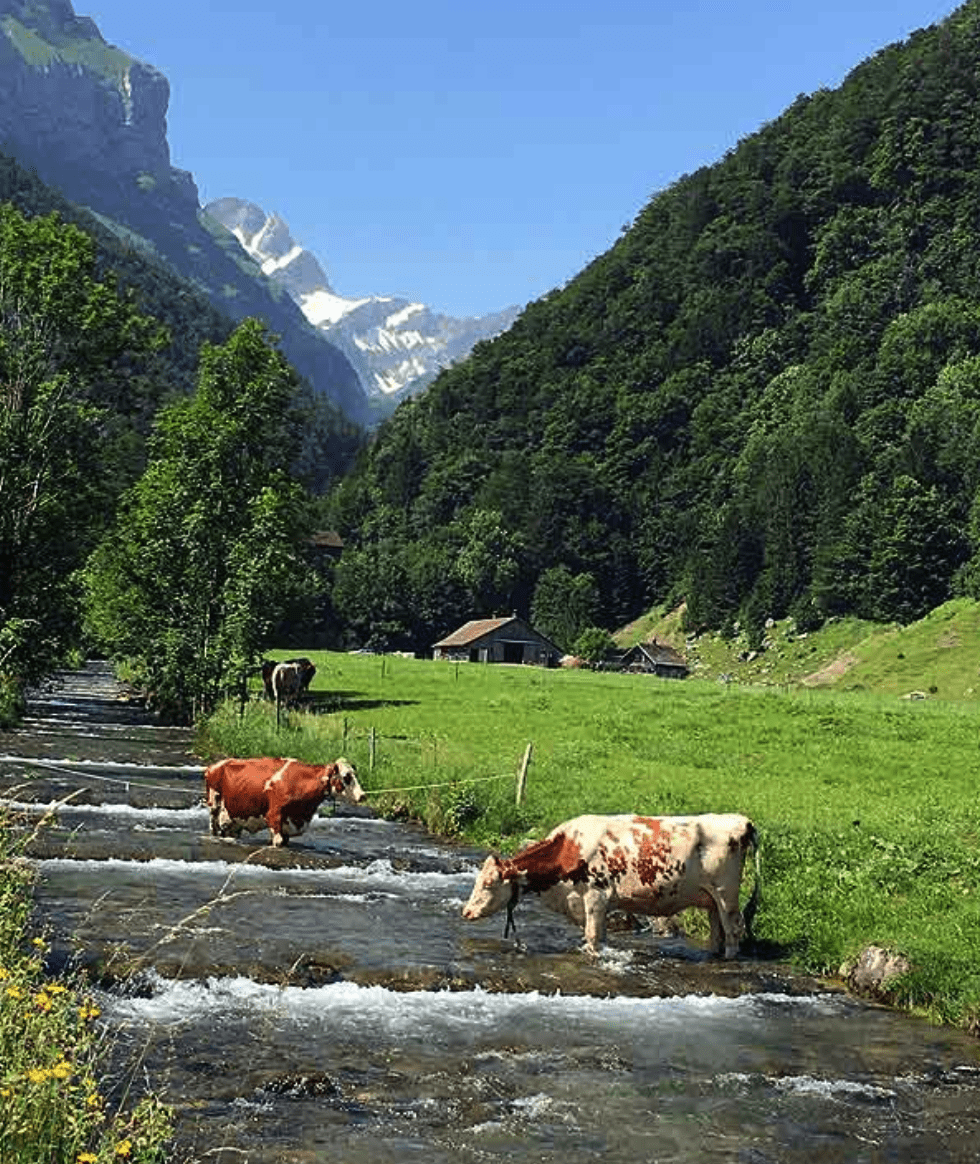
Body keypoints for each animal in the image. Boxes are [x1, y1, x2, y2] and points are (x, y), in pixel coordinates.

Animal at [204, 754, 365, 847]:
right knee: (213, 827)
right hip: (214, 805)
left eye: (354, 774)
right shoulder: (274, 816)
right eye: (346, 777)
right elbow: (278, 842)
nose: (363, 795)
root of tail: (213, 766)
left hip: (233, 815)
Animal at [463, 810, 758, 954]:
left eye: (488, 884)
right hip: (711, 899)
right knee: (717, 932)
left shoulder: (596, 896)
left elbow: (593, 937)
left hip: (726, 895)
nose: (466, 912)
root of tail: (742, 821)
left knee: (733, 930)